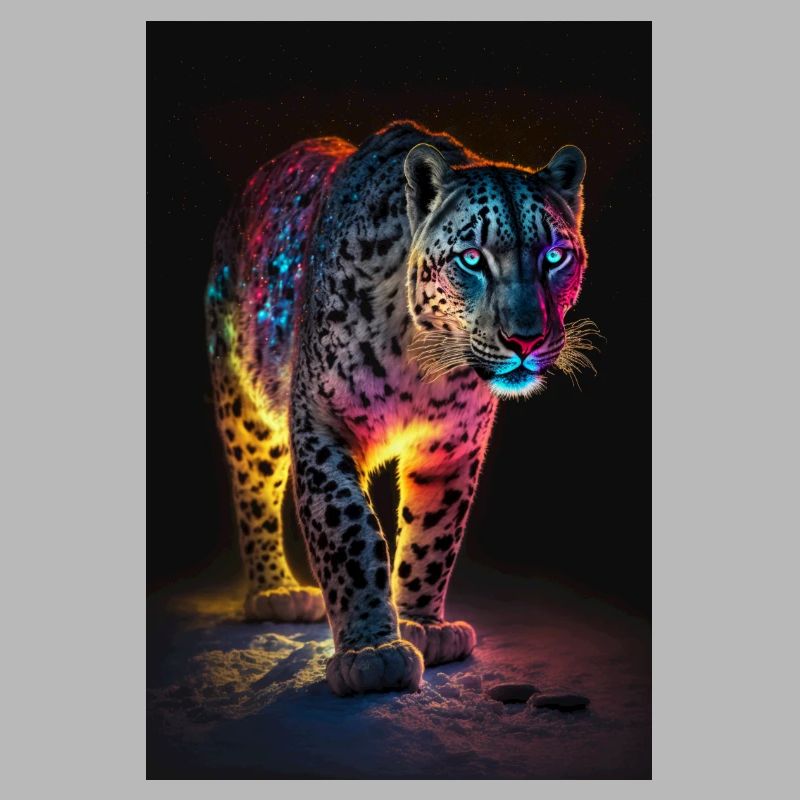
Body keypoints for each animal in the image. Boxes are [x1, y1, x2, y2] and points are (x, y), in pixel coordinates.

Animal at [205, 120, 592, 696]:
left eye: (554, 257)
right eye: (472, 259)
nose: (525, 338)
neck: (421, 357)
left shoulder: (452, 444)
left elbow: (435, 533)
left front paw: (423, 625)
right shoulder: (322, 421)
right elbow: (349, 530)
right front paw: (371, 653)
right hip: (244, 405)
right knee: (253, 489)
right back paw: (275, 592)